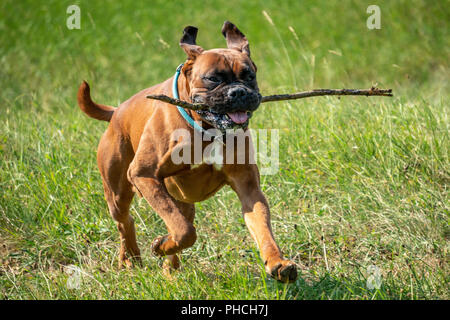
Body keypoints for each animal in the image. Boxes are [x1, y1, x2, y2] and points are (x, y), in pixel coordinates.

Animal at [76, 21, 298, 282]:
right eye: (212, 79)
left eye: (249, 76)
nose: (238, 92)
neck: (207, 129)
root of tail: (117, 111)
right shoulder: (144, 174)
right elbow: (185, 232)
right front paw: (160, 246)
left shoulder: (249, 189)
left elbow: (262, 228)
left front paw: (278, 262)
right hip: (118, 192)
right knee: (126, 223)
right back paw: (131, 258)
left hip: (179, 200)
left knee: (177, 221)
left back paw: (168, 267)